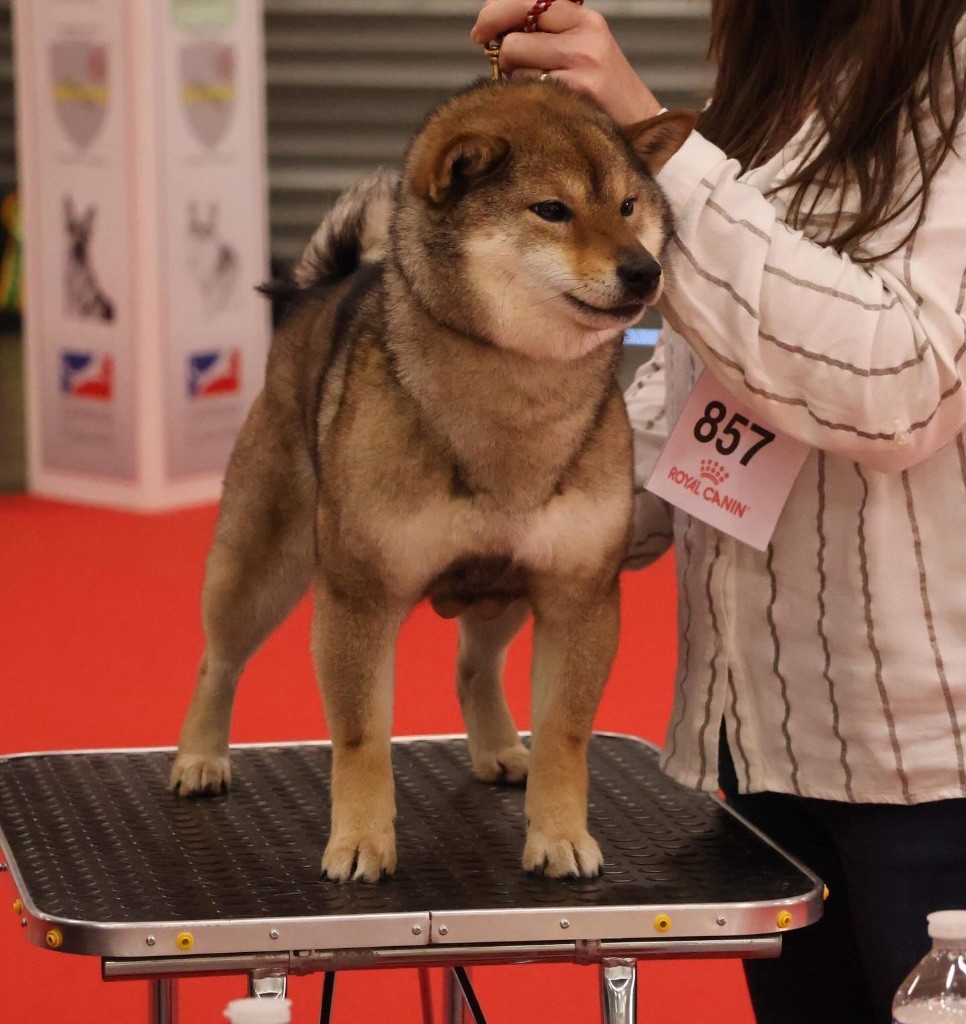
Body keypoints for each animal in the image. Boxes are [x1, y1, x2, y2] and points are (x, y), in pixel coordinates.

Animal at [169, 79, 694, 881]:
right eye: (552, 210)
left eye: (630, 205)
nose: (643, 270)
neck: (516, 396)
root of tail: (318, 291)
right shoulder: (359, 593)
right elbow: (360, 738)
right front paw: (359, 841)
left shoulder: (577, 595)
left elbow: (566, 738)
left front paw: (560, 834)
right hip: (260, 564)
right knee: (217, 659)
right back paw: (199, 756)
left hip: (503, 586)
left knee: (473, 667)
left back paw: (501, 748)